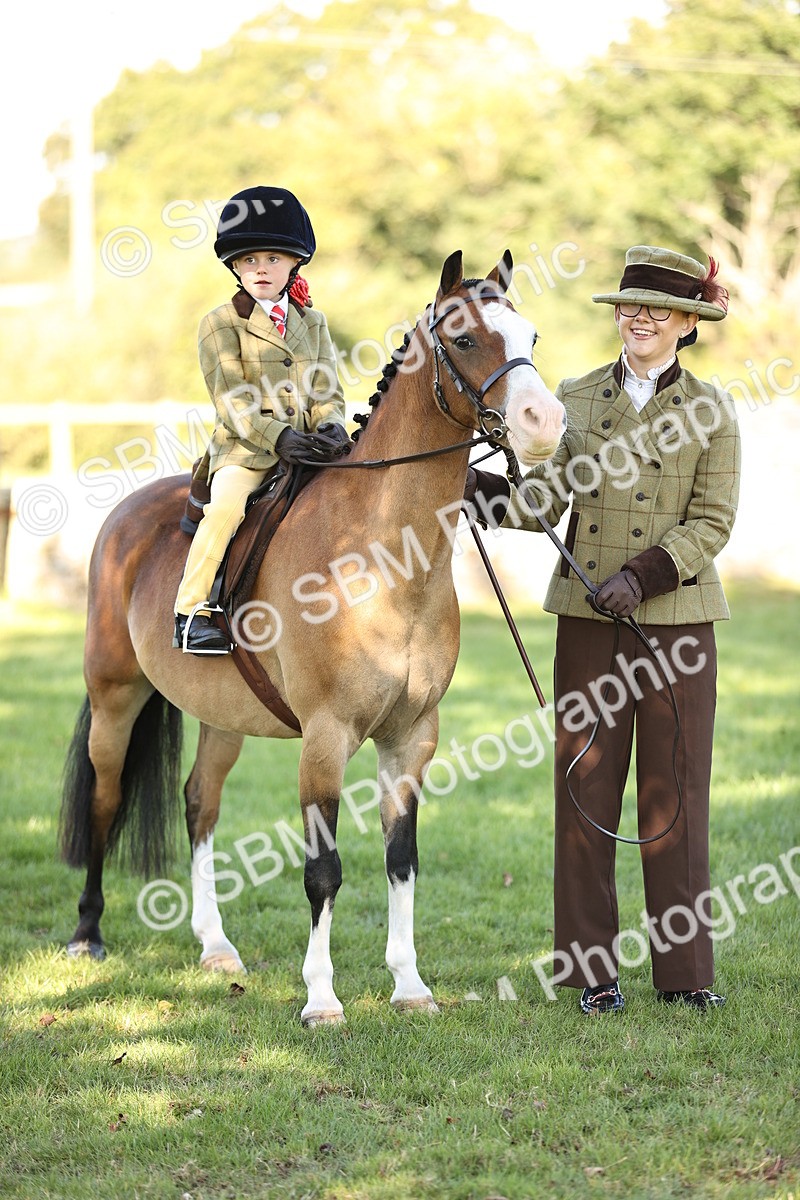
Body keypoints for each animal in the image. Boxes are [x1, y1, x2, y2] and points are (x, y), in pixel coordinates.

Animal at [59, 250, 566, 1025]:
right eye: (466, 339)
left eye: (531, 337)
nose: (546, 422)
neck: (384, 555)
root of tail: (128, 513)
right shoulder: (326, 739)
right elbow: (323, 870)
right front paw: (321, 998)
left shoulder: (411, 738)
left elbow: (400, 860)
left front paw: (410, 987)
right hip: (115, 698)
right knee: (106, 800)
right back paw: (88, 933)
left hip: (222, 717)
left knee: (199, 802)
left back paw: (216, 946)